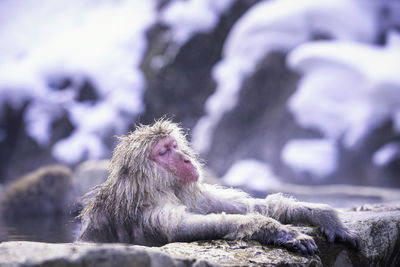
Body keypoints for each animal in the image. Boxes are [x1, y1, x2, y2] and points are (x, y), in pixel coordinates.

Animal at [77, 119, 356, 255]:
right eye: (164, 152)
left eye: (174, 146)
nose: (186, 159)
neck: (156, 187)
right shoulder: (150, 212)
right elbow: (182, 229)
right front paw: (278, 230)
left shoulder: (192, 194)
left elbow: (245, 207)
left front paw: (324, 215)